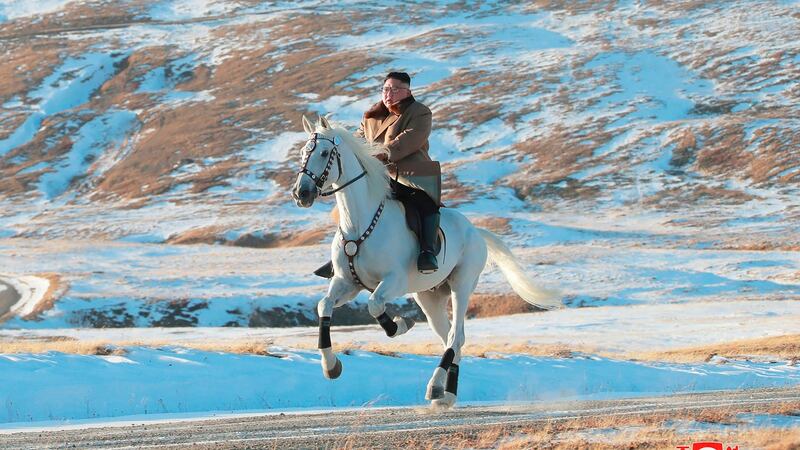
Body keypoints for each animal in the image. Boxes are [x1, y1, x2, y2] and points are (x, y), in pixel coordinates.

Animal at [291, 116, 561, 408]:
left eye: (324, 153)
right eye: (303, 153)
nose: (301, 193)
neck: (359, 223)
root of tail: (476, 231)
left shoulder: (394, 281)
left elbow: (375, 305)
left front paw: (400, 325)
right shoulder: (347, 283)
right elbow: (324, 306)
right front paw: (331, 366)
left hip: (461, 285)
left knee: (455, 336)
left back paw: (435, 387)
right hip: (429, 297)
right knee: (452, 339)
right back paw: (447, 394)